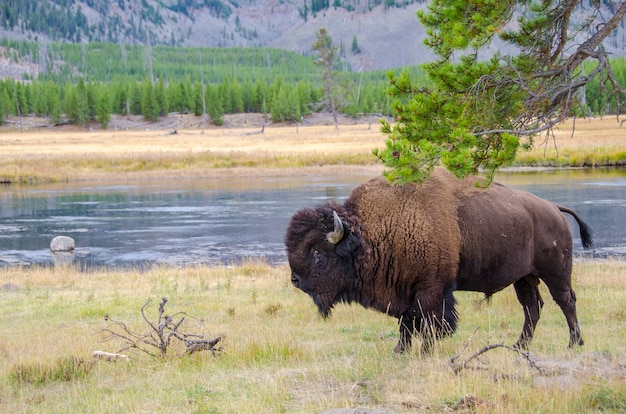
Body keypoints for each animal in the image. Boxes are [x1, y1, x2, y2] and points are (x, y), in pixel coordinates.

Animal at [286, 168, 592, 352]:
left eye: (317, 252)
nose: (296, 280)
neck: (371, 232)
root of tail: (554, 208)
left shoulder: (431, 289)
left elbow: (429, 322)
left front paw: (424, 351)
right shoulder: (406, 289)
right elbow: (407, 323)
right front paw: (400, 351)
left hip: (555, 273)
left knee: (566, 301)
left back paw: (574, 343)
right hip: (524, 277)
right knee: (532, 307)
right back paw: (520, 346)